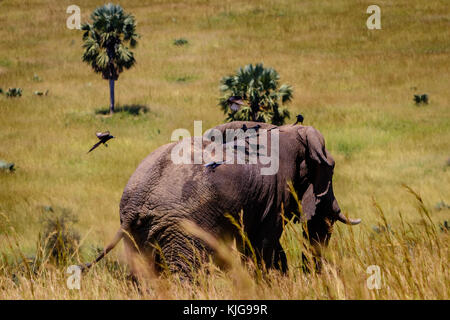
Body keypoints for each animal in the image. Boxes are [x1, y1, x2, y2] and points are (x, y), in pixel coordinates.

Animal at [82, 120, 360, 278]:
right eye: (331, 168)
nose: (313, 274)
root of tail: (138, 199)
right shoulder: (276, 192)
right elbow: (264, 244)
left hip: (140, 230)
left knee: (145, 273)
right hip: (182, 228)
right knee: (183, 272)